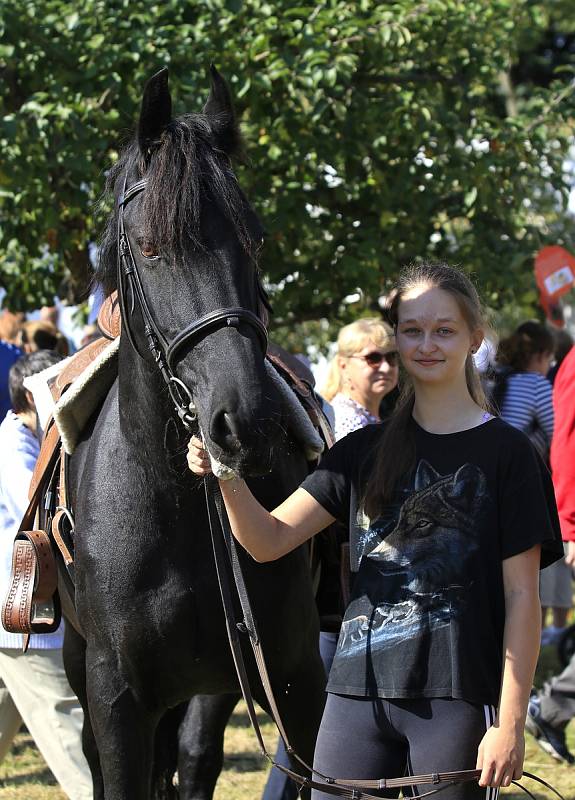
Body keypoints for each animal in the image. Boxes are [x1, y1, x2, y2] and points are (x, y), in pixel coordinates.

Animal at [64, 69, 326, 800]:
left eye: (255, 240)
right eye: (151, 247)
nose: (247, 423)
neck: (176, 508)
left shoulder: (294, 680)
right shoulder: (117, 703)